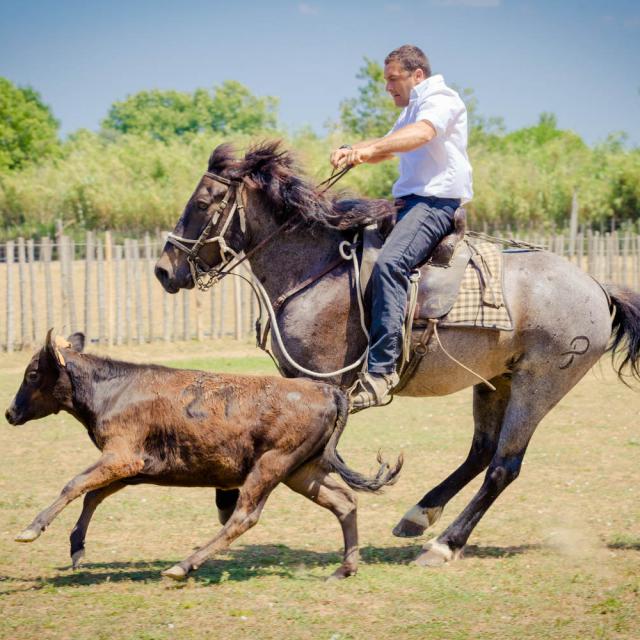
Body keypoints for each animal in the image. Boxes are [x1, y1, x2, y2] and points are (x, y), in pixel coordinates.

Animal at [5, 332, 402, 584]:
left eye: (33, 373)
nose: (10, 413)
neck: (112, 390)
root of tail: (328, 391)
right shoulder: (134, 466)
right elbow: (93, 494)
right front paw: (76, 549)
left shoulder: (122, 456)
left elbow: (75, 485)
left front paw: (30, 530)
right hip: (302, 471)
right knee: (343, 501)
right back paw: (344, 569)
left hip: (271, 466)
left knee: (244, 516)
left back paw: (182, 567)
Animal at [155, 142, 640, 568]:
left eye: (203, 202)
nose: (163, 270)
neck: (315, 271)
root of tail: (598, 287)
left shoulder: (319, 381)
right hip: (495, 381)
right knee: (481, 451)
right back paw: (419, 515)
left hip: (539, 385)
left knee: (503, 466)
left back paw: (444, 545)